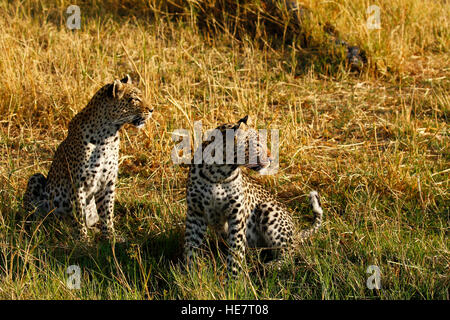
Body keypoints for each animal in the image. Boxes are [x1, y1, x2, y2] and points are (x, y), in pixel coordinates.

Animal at [22, 74, 153, 240]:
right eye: (134, 99)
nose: (152, 109)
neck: (108, 135)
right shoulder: (77, 183)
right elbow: (78, 213)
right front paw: (82, 239)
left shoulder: (108, 182)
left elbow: (107, 212)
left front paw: (110, 236)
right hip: (36, 178)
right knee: (34, 216)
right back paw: (37, 229)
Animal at [183, 115, 324, 278]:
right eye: (257, 144)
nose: (272, 158)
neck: (219, 173)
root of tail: (295, 232)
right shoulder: (195, 212)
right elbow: (191, 245)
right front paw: (190, 274)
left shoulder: (237, 214)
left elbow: (236, 249)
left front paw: (234, 278)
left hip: (267, 210)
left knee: (290, 252)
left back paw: (270, 267)